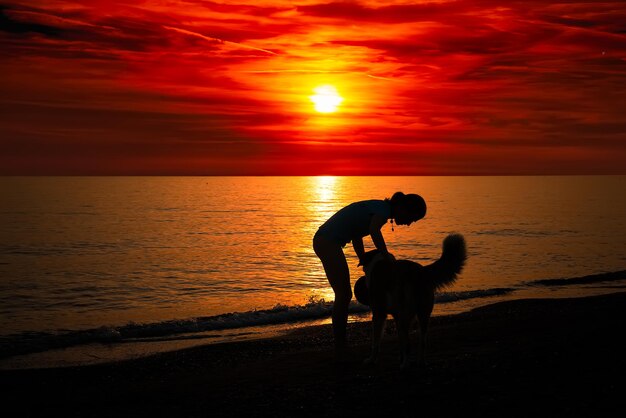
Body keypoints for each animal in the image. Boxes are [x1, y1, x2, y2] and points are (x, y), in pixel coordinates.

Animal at [352, 233, 464, 370]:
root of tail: (421, 272)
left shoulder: (379, 313)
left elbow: (376, 341)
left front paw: (371, 359)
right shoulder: (396, 315)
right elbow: (400, 340)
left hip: (405, 315)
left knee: (408, 344)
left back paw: (405, 364)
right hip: (423, 314)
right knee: (422, 341)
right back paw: (420, 362)